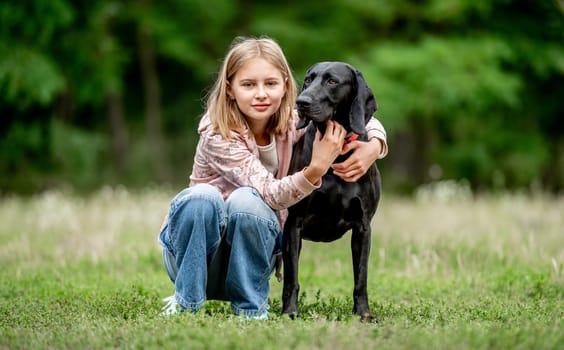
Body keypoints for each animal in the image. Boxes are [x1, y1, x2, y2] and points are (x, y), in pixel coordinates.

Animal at [284, 61, 382, 322]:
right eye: (308, 79)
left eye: (332, 81)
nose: (302, 102)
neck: (335, 154)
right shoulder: (294, 224)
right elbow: (292, 276)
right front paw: (290, 311)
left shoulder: (363, 227)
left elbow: (361, 278)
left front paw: (363, 313)